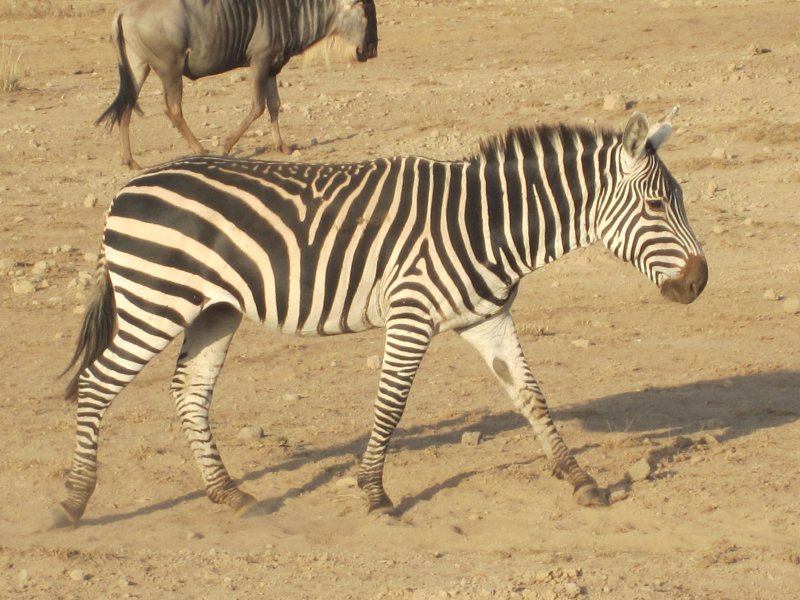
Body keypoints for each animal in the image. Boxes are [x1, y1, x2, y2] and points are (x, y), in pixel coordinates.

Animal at [54, 110, 708, 528]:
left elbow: (531, 395)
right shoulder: (411, 313)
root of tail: (129, 185)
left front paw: (579, 478)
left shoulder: (487, 318)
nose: (700, 282)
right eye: (656, 205)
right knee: (96, 383)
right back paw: (74, 502)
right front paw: (374, 494)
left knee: (190, 391)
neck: (488, 225)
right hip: (155, 302)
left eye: (678, 201)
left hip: (214, 309)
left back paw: (231, 494)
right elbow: (390, 405)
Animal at [97, 0, 379, 169]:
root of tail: (124, 11)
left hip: (138, 67)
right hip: (170, 68)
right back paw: (200, 149)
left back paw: (130, 161)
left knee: (126, 107)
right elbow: (258, 106)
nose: (371, 51)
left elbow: (275, 105)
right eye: (366, 11)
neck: (292, 12)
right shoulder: (259, 62)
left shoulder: (272, 67)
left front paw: (283, 147)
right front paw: (226, 145)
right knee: (172, 108)